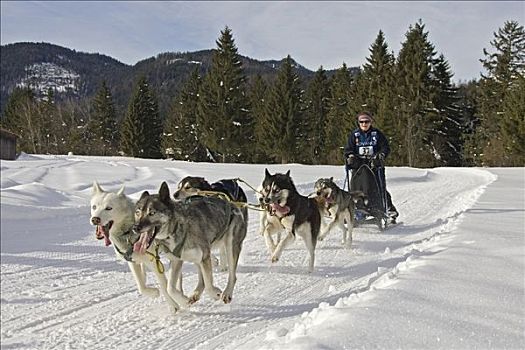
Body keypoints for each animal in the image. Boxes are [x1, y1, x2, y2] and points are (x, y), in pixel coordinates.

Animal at [90, 182, 188, 314]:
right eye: (94, 207)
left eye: (109, 208)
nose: (95, 219)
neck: (128, 231)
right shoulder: (132, 261)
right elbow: (141, 286)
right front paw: (153, 293)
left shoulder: (154, 262)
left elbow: (164, 285)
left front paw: (173, 305)